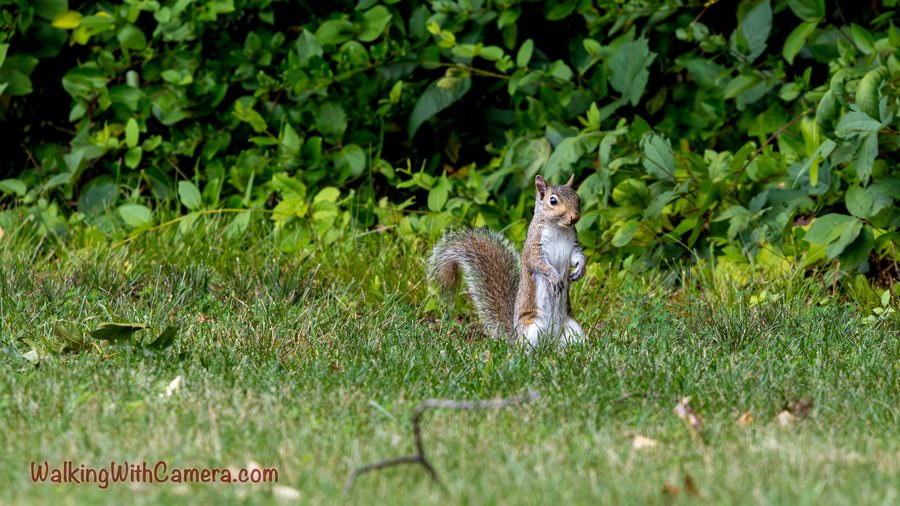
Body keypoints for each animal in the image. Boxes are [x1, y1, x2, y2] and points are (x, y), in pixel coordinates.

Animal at [428, 175, 586, 347]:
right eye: (553, 201)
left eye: (578, 198)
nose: (575, 217)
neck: (559, 228)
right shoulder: (534, 247)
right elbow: (537, 263)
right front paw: (554, 277)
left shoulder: (573, 246)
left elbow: (577, 257)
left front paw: (580, 270)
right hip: (532, 329)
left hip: (574, 331)